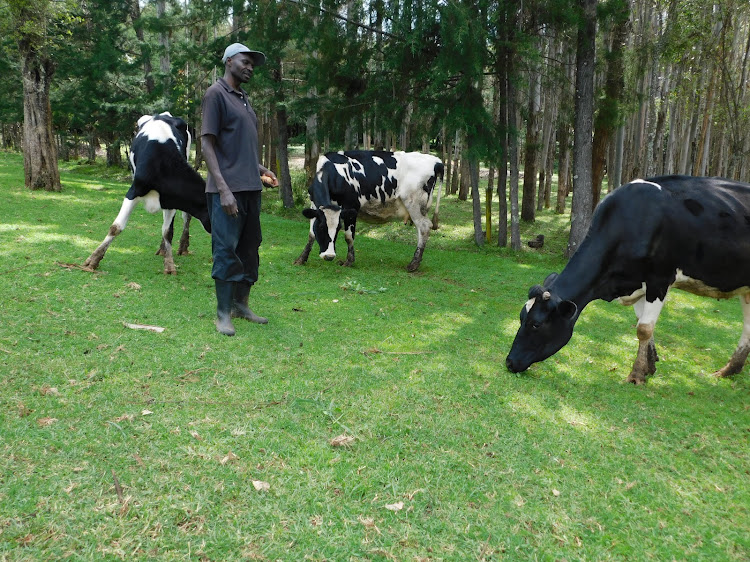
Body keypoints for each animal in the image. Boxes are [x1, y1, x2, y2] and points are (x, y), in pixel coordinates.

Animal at [83, 112, 210, 274]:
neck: (162, 166)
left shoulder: (171, 200)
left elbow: (168, 231)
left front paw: (169, 264)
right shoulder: (134, 192)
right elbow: (116, 227)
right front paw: (93, 259)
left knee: (184, 217)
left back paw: (178, 247)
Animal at [294, 149, 444, 272]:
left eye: (338, 228)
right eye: (321, 227)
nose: (329, 256)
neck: (334, 173)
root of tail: (435, 161)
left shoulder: (351, 207)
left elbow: (349, 236)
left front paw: (349, 261)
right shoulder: (314, 206)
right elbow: (311, 234)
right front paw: (301, 258)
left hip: (415, 205)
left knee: (424, 228)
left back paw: (414, 264)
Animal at [508, 175, 750, 382]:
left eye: (536, 324)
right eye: (521, 317)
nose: (509, 362)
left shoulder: (659, 279)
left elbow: (644, 328)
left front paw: (637, 375)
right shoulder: (637, 283)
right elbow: (642, 324)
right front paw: (650, 365)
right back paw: (729, 370)